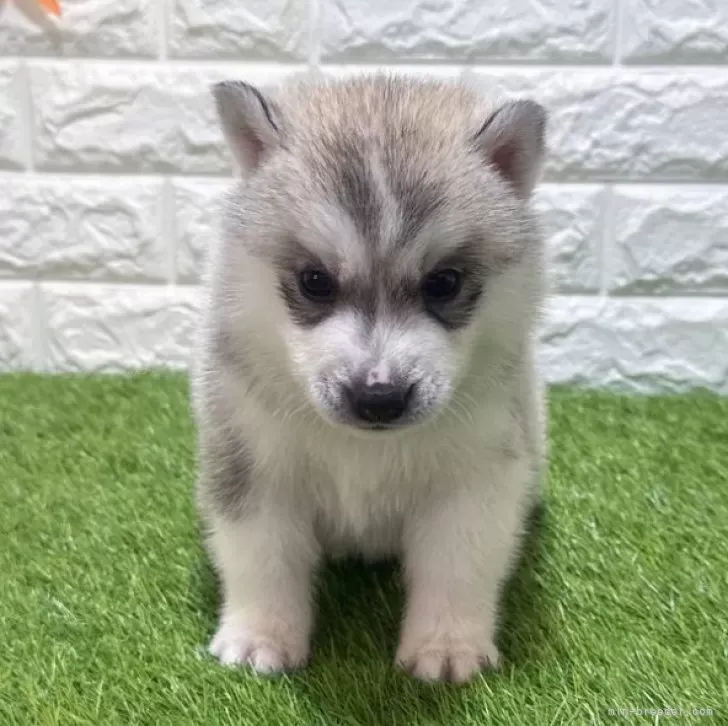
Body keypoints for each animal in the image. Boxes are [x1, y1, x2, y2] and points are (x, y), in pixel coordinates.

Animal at [191, 73, 548, 684]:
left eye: (444, 283)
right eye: (315, 281)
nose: (378, 397)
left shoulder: (475, 480)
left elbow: (457, 566)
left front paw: (445, 645)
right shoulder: (251, 467)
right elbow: (262, 558)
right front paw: (261, 636)